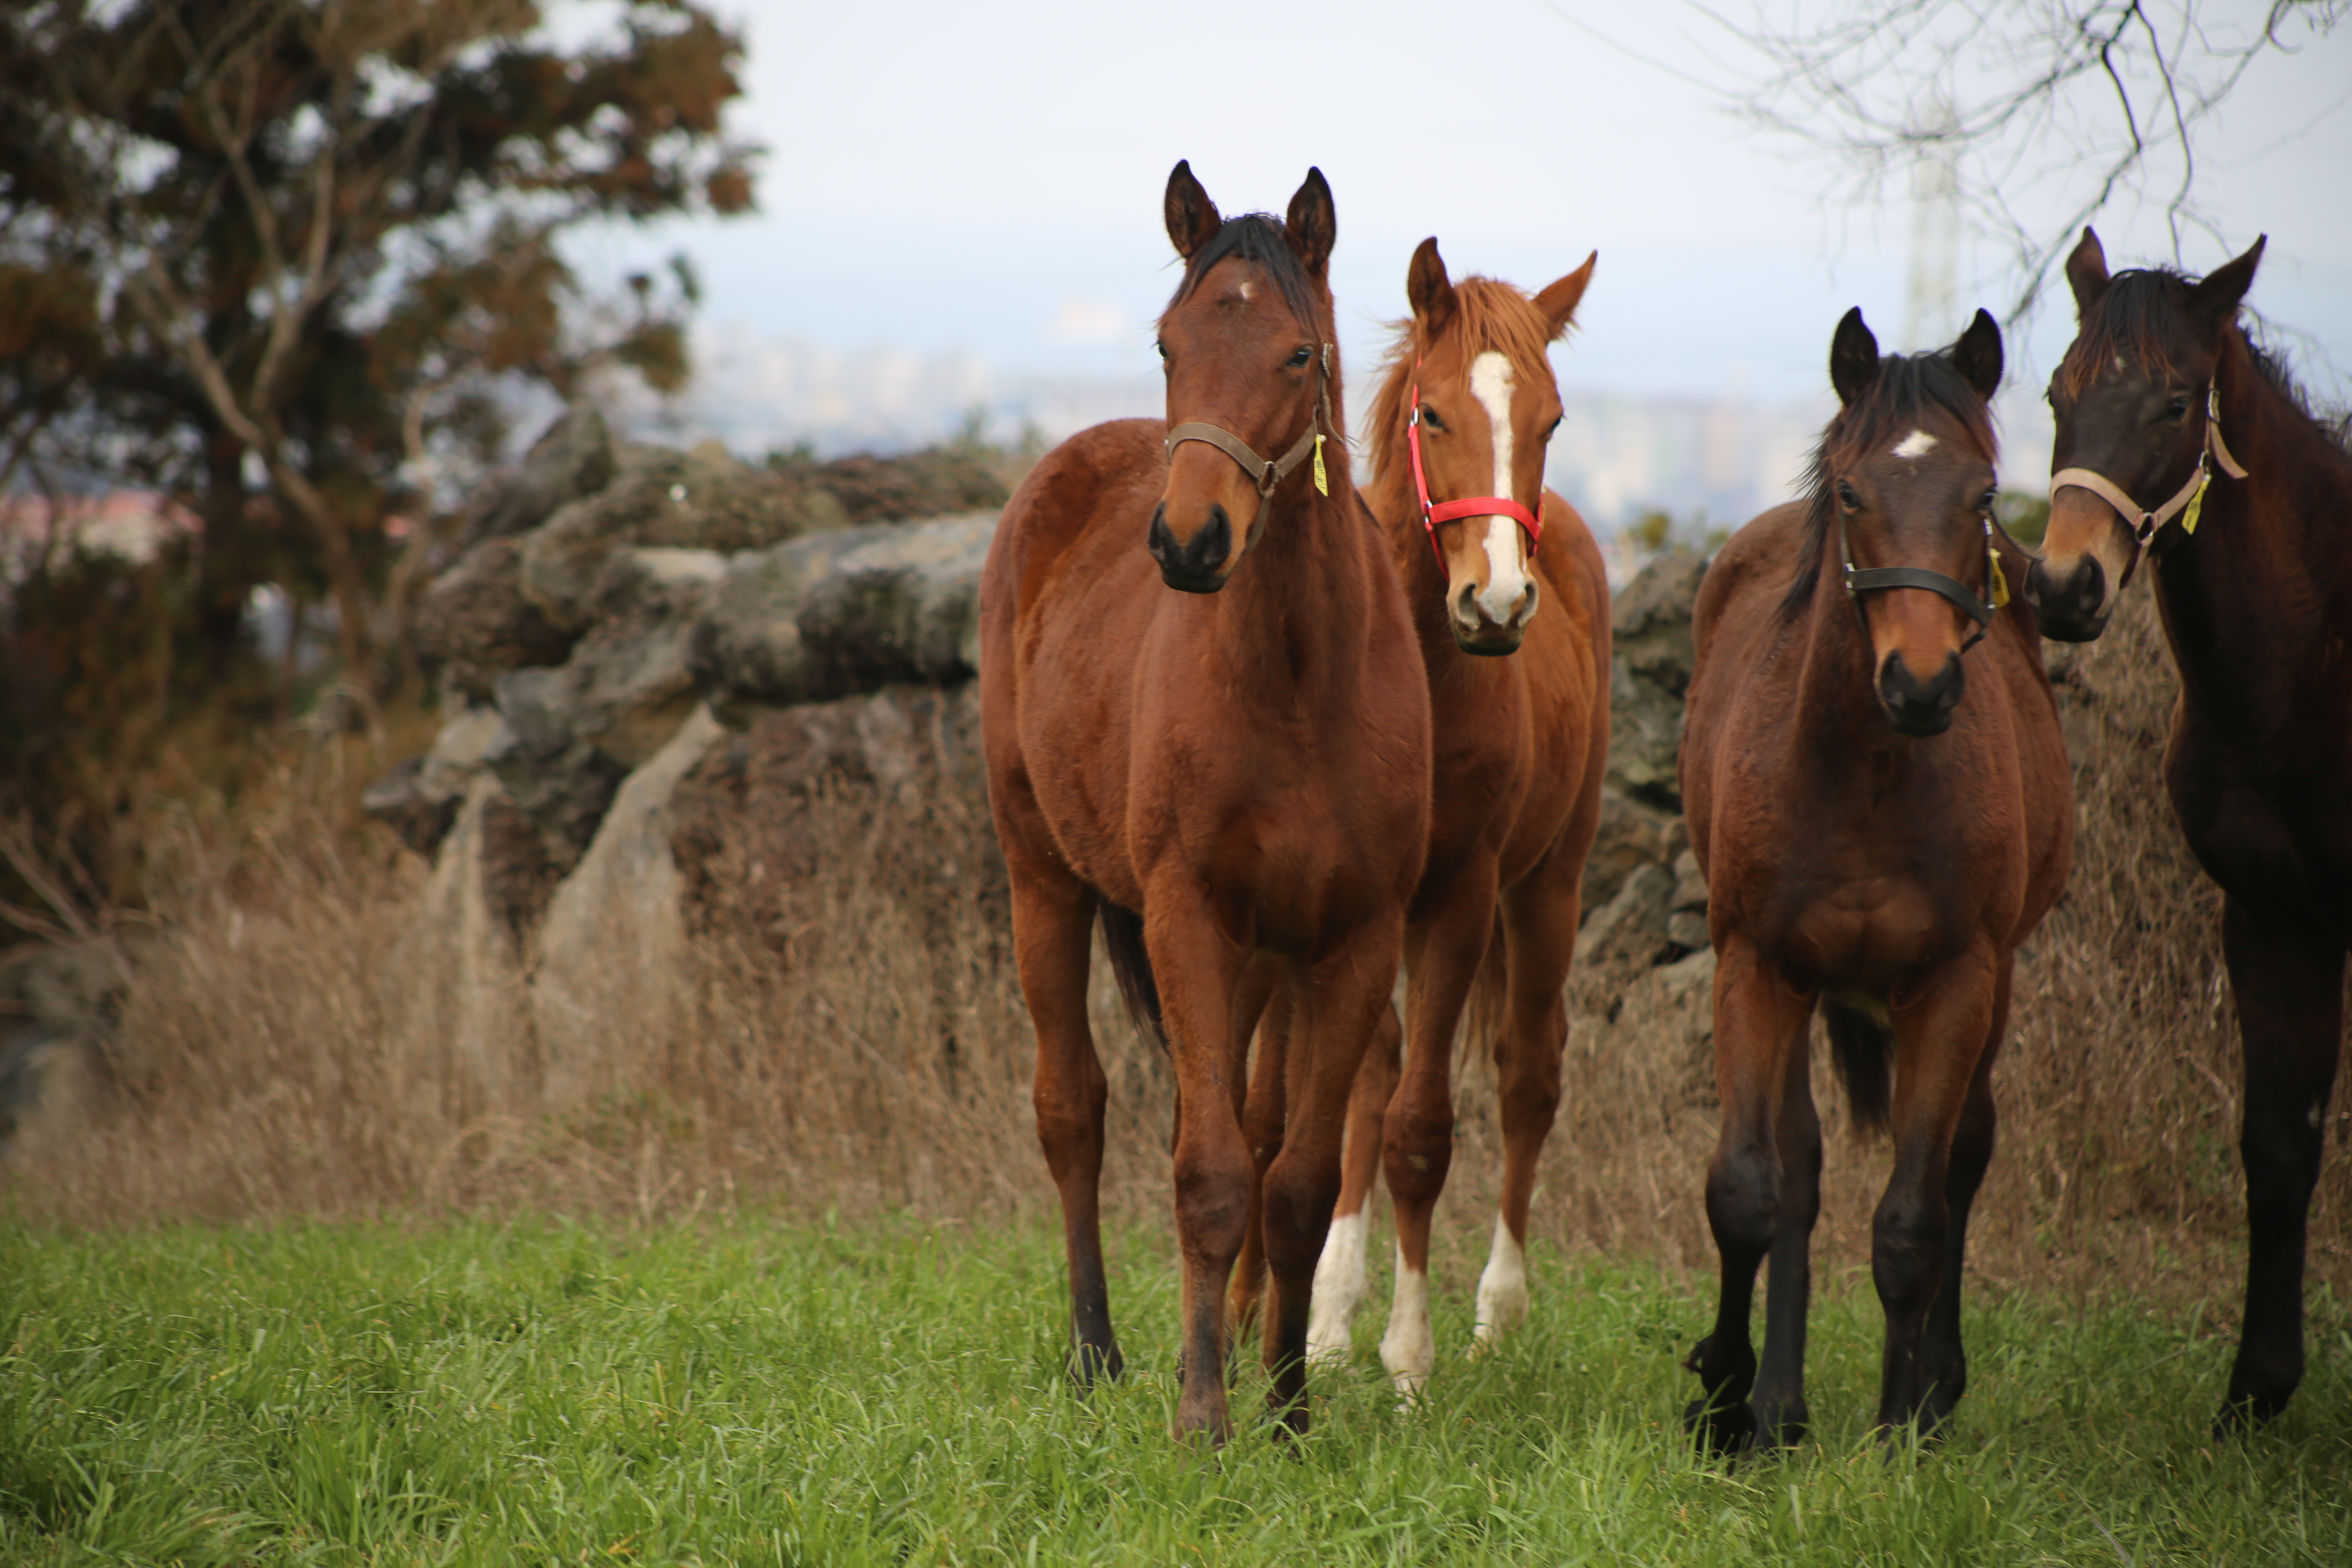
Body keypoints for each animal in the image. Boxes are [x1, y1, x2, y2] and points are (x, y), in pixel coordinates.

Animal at [973, 162, 1430, 1448]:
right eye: (1168, 344)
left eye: (1295, 353)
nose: (1187, 540)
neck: (1298, 679)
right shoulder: (1185, 916)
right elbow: (1209, 1175)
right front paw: (1203, 1416)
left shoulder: (1350, 941)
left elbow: (1298, 1181)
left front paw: (1286, 1406)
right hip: (1043, 879)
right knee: (1073, 1110)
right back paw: (1097, 1351)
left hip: (1263, 961)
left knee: (1242, 1126)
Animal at [1289, 240, 1618, 1392]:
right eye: (1431, 414)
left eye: (1552, 421)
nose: (1498, 604)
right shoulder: (1363, 903)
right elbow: (1363, 1094)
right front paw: (1330, 1323)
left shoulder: (1462, 897)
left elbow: (1422, 1127)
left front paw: (1408, 1360)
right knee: (1380, 1078)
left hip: (1550, 883)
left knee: (1528, 1074)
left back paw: (1495, 1314)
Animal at [1684, 310, 2069, 1457]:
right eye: (1853, 493)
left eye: (1982, 494)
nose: (1921, 683)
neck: (1858, 778)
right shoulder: (1756, 967)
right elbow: (1750, 1189)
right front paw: (1730, 1397)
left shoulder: (1952, 982)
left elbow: (1912, 1217)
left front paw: (1901, 1423)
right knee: (1800, 1168)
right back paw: (1779, 1403)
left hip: (1986, 988)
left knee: (1961, 1156)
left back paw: (1932, 1388)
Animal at [2022, 230, 2352, 1439]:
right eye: (2057, 391)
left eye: (2174, 402)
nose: (2062, 585)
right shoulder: (2270, 918)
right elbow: (2276, 1145)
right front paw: (2256, 1389)